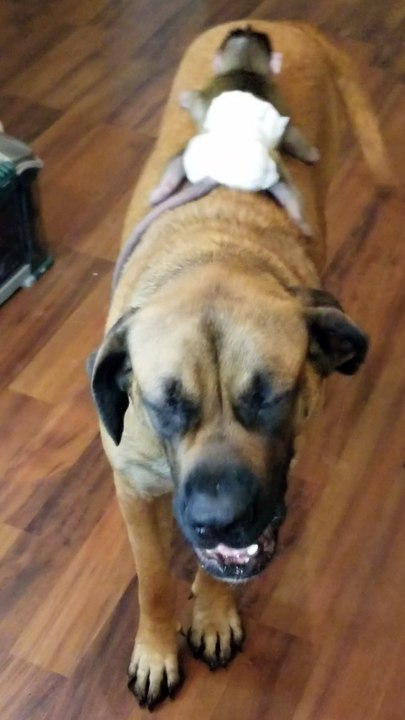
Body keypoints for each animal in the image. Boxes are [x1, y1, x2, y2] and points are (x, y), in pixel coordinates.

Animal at [149, 26, 320, 236]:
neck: (245, 67)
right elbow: (289, 129)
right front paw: (311, 153)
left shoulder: (210, 87)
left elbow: (195, 99)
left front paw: (185, 98)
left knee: (177, 159)